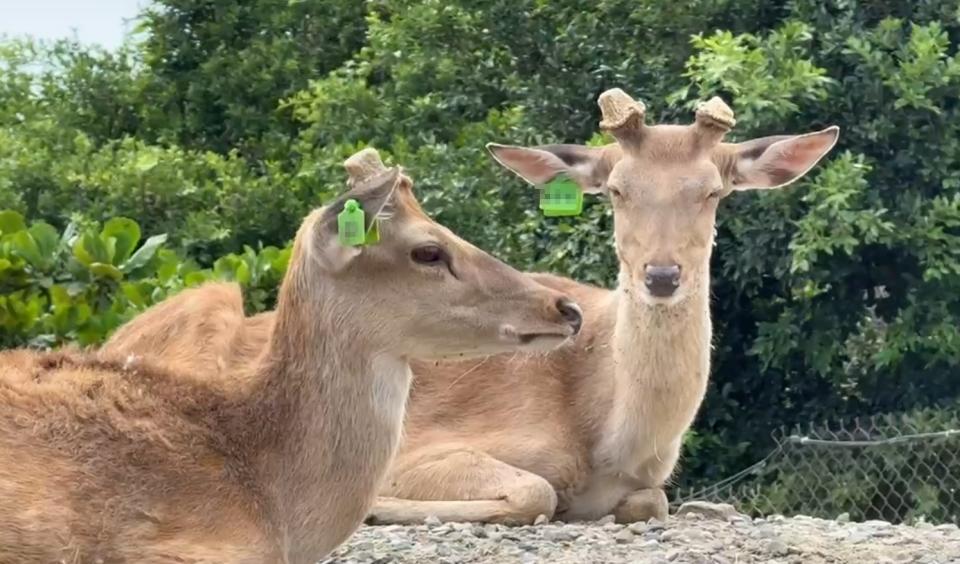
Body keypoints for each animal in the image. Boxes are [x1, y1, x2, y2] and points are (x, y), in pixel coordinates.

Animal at [107, 90, 840, 528]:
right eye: (615, 190)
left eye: (714, 190)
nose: (661, 275)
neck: (609, 434)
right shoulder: (428, 444)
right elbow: (536, 490)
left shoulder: (647, 483)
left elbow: (653, 501)